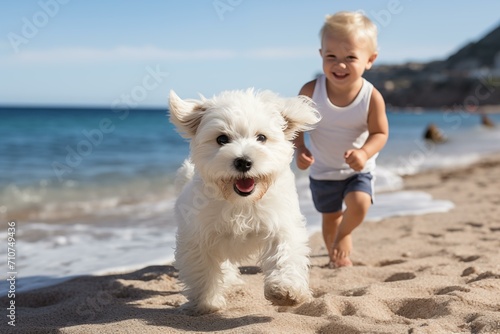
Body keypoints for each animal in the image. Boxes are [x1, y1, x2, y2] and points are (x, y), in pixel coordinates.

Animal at [169, 88, 320, 314]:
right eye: (222, 139)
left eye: (261, 137)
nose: (243, 161)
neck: (241, 203)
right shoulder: (197, 235)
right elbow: (202, 268)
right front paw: (206, 302)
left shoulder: (281, 223)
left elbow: (284, 253)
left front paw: (285, 290)